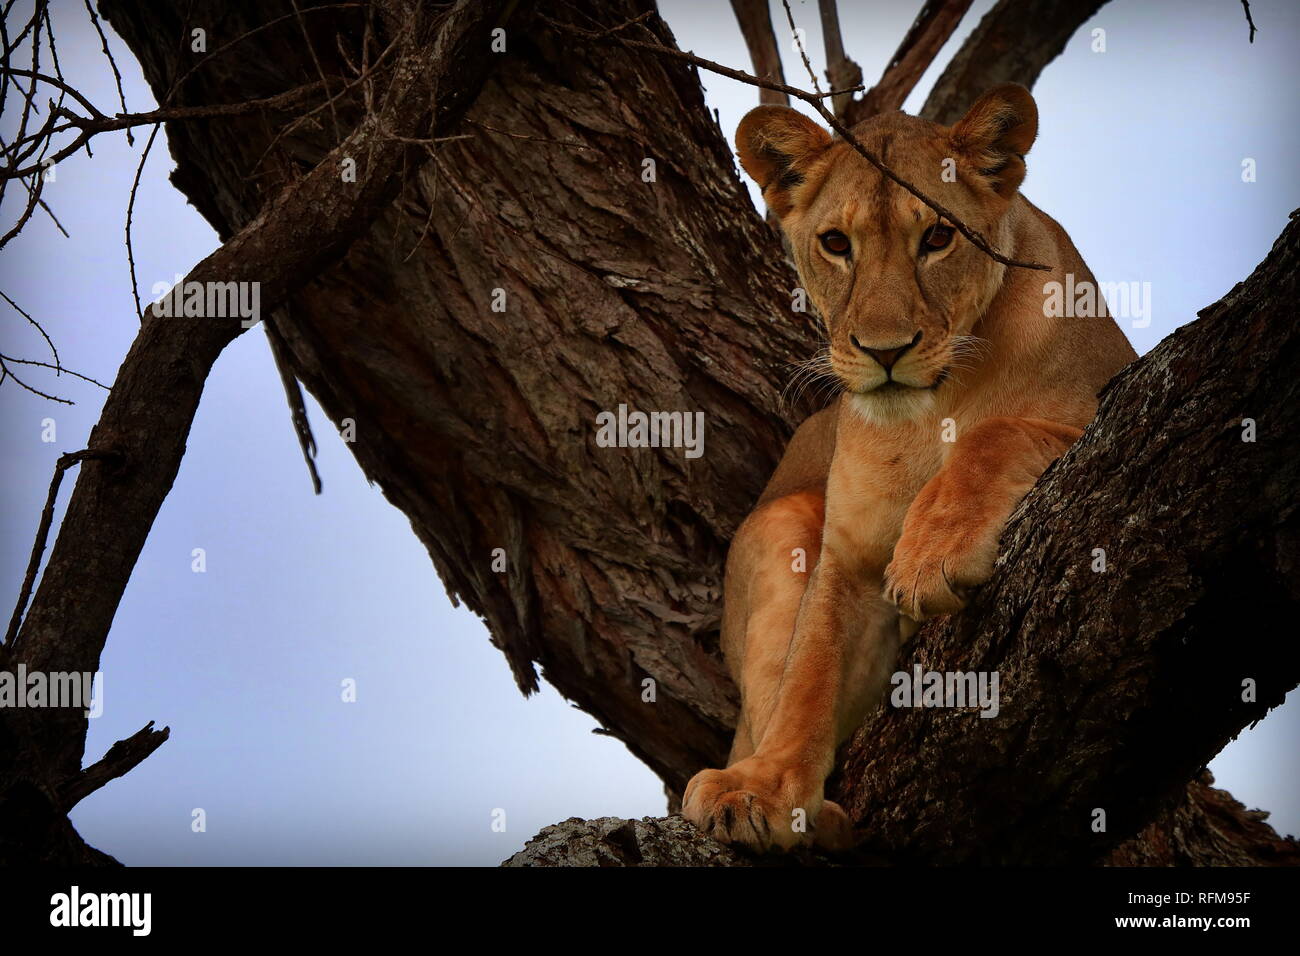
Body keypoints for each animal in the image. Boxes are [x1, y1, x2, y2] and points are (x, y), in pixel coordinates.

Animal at [681, 83, 1138, 853]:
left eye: (938, 238)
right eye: (837, 243)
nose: (884, 350)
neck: (931, 409)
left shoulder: (1111, 399)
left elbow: (995, 435)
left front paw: (932, 555)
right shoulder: (850, 559)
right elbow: (811, 674)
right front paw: (763, 790)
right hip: (778, 526)